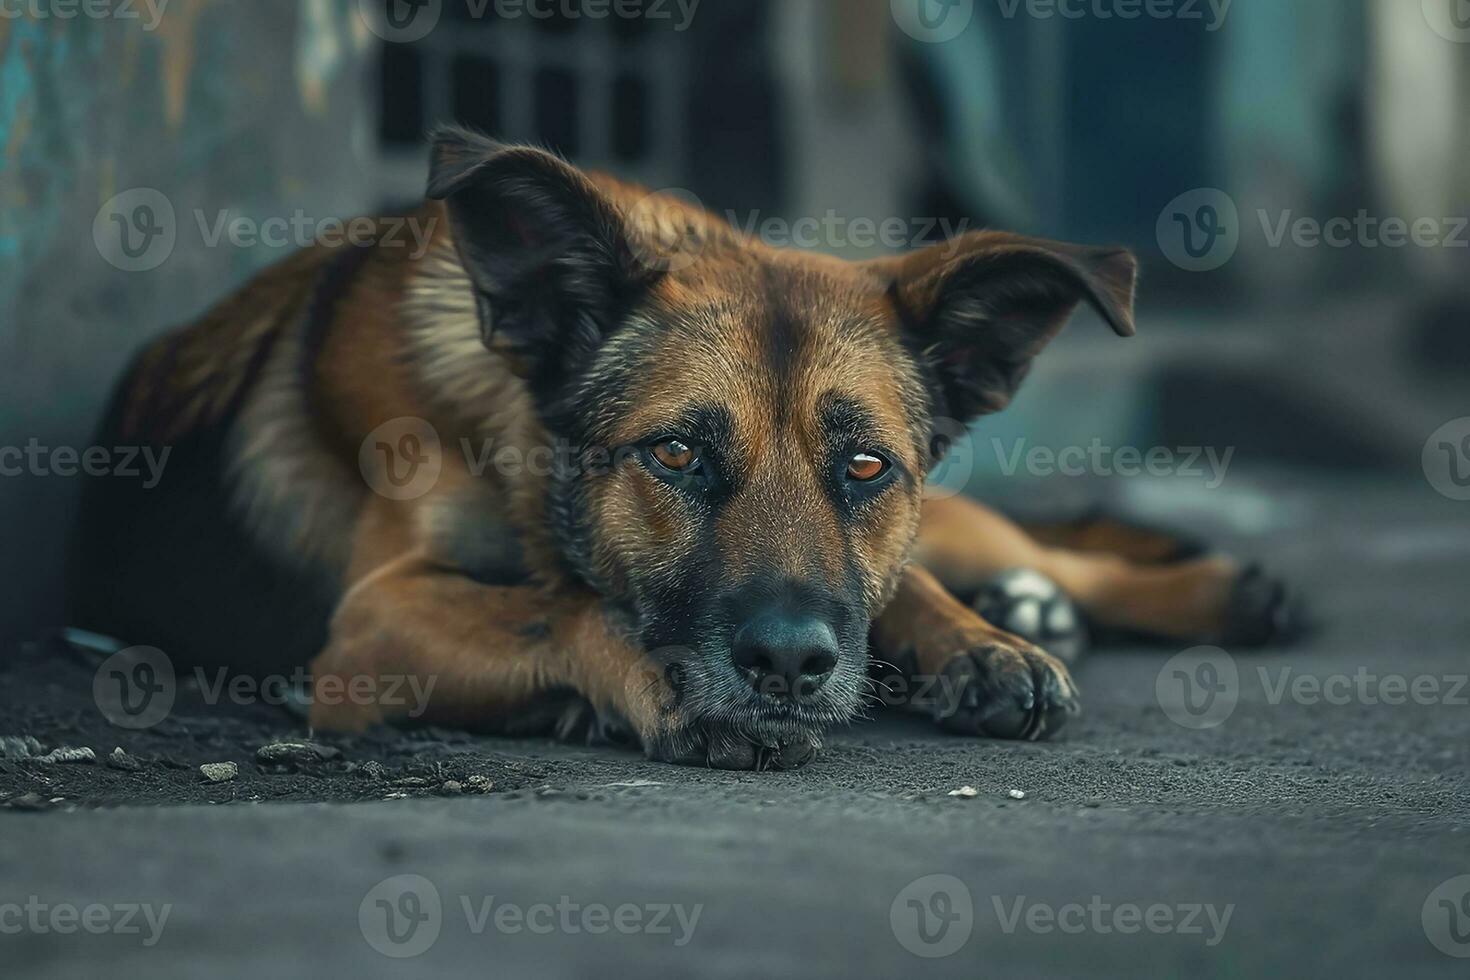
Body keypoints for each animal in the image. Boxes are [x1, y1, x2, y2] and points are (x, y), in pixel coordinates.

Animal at [66, 130, 1287, 769]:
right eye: (675, 458)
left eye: (866, 467)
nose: (790, 665)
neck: (525, 460)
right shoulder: (373, 621)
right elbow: (561, 608)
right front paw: (655, 683)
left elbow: (894, 587)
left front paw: (978, 645)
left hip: (969, 523)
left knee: (1029, 546)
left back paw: (1174, 596)